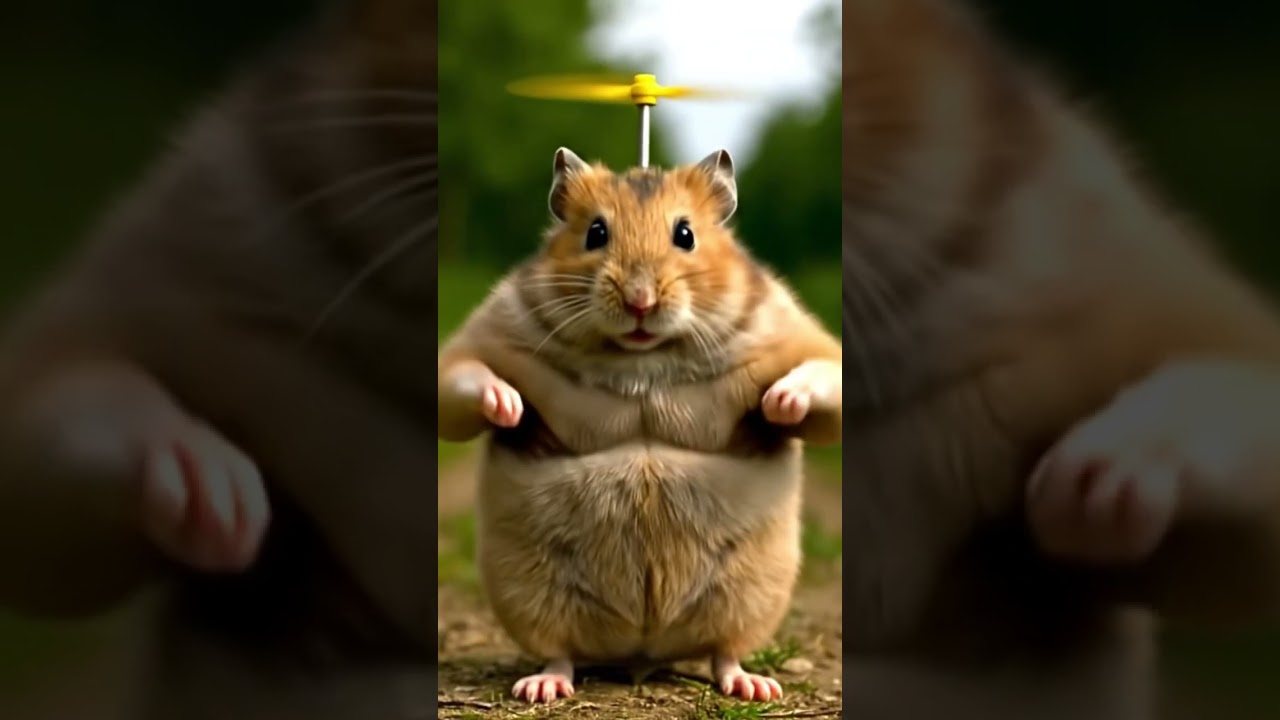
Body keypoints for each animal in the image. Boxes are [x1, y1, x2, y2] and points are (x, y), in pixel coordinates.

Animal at [436, 147, 842, 703]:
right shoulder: (487, 332)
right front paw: (510, 406)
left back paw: (754, 687)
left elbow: (821, 377)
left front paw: (779, 402)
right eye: (596, 233)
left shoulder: (796, 334)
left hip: (753, 593)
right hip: (528, 590)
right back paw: (542, 687)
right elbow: (464, 378)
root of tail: (641, 652)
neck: (642, 358)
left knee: (726, 651)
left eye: (685, 234)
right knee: (559, 651)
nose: (640, 301)